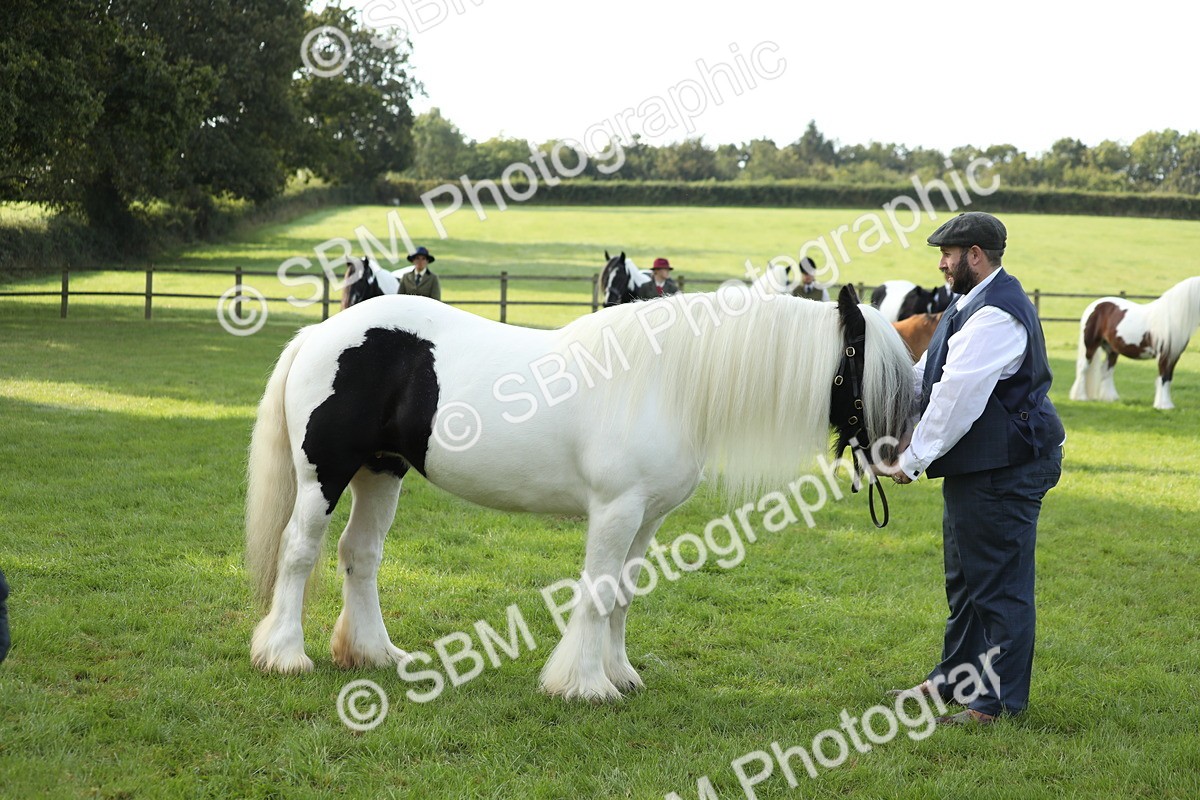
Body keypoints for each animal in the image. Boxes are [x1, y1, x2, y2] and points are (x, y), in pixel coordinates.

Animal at [245, 284, 915, 701]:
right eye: (871, 368)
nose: (897, 457)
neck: (667, 383)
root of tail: (319, 333)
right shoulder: (616, 511)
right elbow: (596, 592)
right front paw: (586, 685)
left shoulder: (648, 518)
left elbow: (623, 593)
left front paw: (621, 676)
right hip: (325, 476)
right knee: (299, 552)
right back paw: (284, 654)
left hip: (382, 471)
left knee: (360, 557)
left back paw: (375, 655)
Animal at [1068, 276, 1200, 410]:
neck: (1171, 319)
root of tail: (1094, 305)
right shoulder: (1164, 355)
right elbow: (1163, 377)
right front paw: (1163, 405)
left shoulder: (1174, 355)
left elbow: (1168, 378)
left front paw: (1165, 404)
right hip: (1090, 346)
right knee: (1083, 368)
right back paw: (1081, 397)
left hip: (1111, 350)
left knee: (1106, 369)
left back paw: (1110, 398)